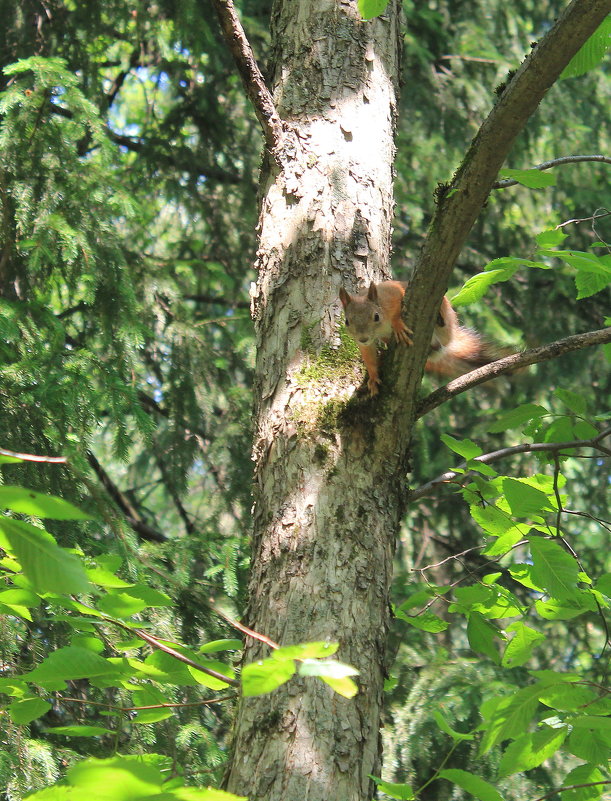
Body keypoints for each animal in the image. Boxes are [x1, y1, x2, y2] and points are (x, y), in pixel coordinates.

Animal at [340, 280, 502, 396]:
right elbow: (369, 357)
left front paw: (397, 324)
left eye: (376, 316)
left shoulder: (391, 294)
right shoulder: (367, 344)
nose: (362, 338)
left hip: (446, 326)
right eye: (347, 321)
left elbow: (397, 308)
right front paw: (373, 379)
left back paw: (439, 319)